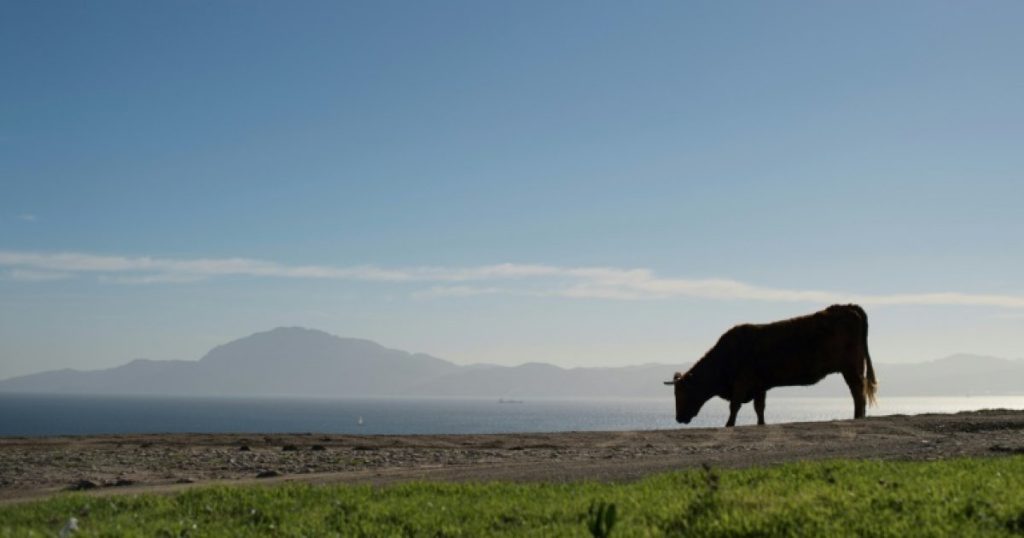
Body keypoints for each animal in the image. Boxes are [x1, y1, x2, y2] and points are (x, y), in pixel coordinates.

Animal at [667, 303, 876, 426]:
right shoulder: (759, 386)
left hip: (851, 368)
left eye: (681, 392)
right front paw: (761, 424)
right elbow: (759, 408)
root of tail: (846, 307)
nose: (678, 418)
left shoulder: (742, 383)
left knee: (858, 391)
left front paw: (729, 425)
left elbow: (734, 406)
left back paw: (857, 416)